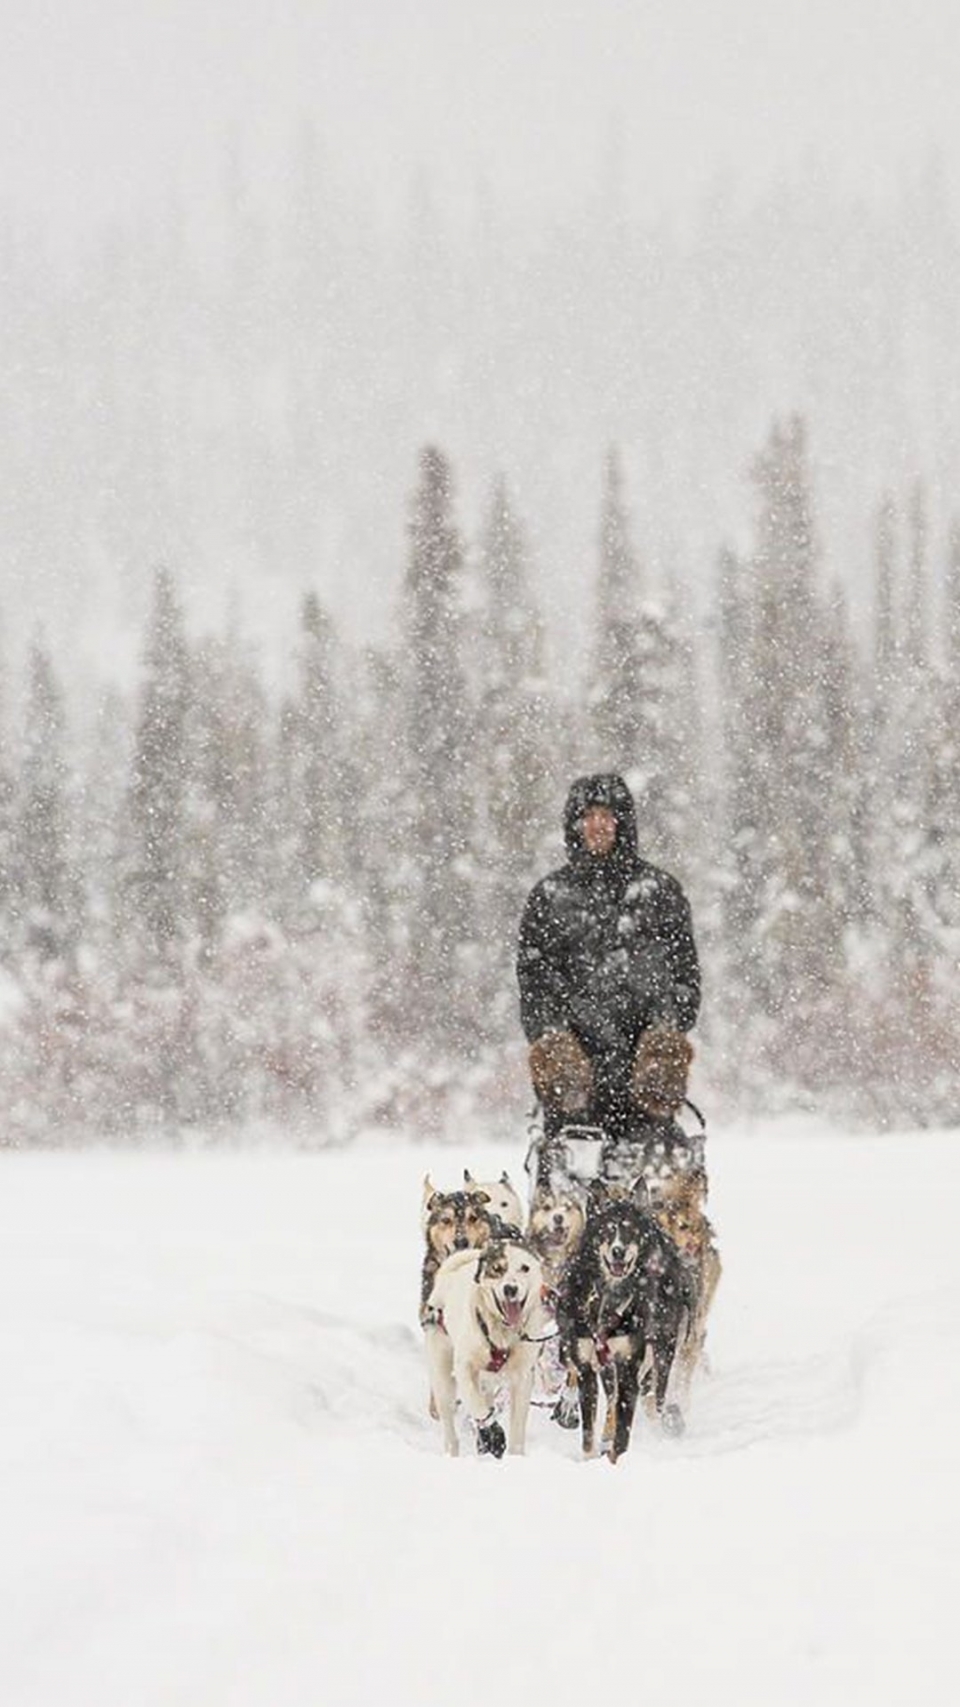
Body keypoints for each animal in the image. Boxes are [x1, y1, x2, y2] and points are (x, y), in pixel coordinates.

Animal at [423, 1235, 550, 1461]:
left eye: (525, 1268)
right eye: (497, 1269)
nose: (510, 1289)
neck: (502, 1333)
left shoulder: (524, 1376)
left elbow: (518, 1427)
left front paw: (516, 1456)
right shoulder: (465, 1368)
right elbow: (477, 1406)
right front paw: (492, 1434)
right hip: (443, 1378)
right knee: (450, 1427)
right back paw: (454, 1451)